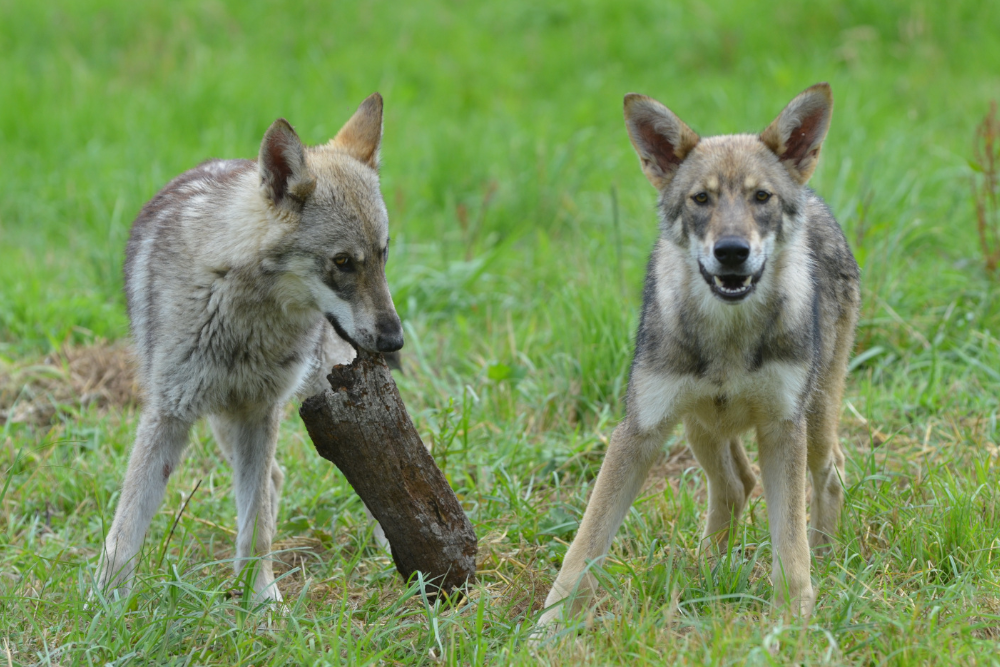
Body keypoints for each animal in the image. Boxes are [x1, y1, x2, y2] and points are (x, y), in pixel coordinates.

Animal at [96, 94, 402, 604]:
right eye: (342, 262)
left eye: (383, 255)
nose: (395, 339)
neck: (243, 310)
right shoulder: (169, 416)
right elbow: (124, 530)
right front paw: (103, 606)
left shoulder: (262, 411)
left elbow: (256, 528)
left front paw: (260, 600)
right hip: (223, 422)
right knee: (274, 477)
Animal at [540, 82, 860, 628]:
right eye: (701, 199)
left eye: (761, 197)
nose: (731, 251)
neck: (728, 337)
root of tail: (816, 199)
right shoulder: (640, 429)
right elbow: (584, 544)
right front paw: (548, 628)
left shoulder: (782, 429)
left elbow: (790, 544)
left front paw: (794, 622)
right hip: (698, 423)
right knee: (737, 484)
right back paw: (707, 570)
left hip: (812, 419)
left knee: (830, 471)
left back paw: (825, 557)